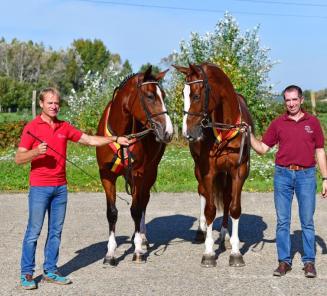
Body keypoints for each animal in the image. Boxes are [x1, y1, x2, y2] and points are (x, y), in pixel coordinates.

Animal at [96, 67, 174, 266]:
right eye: (150, 96)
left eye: (163, 95)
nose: (168, 132)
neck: (120, 136)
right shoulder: (106, 175)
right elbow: (112, 213)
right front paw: (110, 254)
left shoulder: (139, 174)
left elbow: (137, 209)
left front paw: (138, 250)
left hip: (150, 172)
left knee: (143, 201)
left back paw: (143, 238)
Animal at [174, 63, 254, 268]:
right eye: (183, 94)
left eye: (196, 95)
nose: (187, 132)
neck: (225, 130)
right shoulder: (207, 171)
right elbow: (209, 210)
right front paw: (209, 253)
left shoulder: (239, 171)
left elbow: (234, 207)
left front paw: (235, 252)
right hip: (199, 170)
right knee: (202, 193)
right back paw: (201, 231)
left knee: (225, 198)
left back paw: (225, 235)